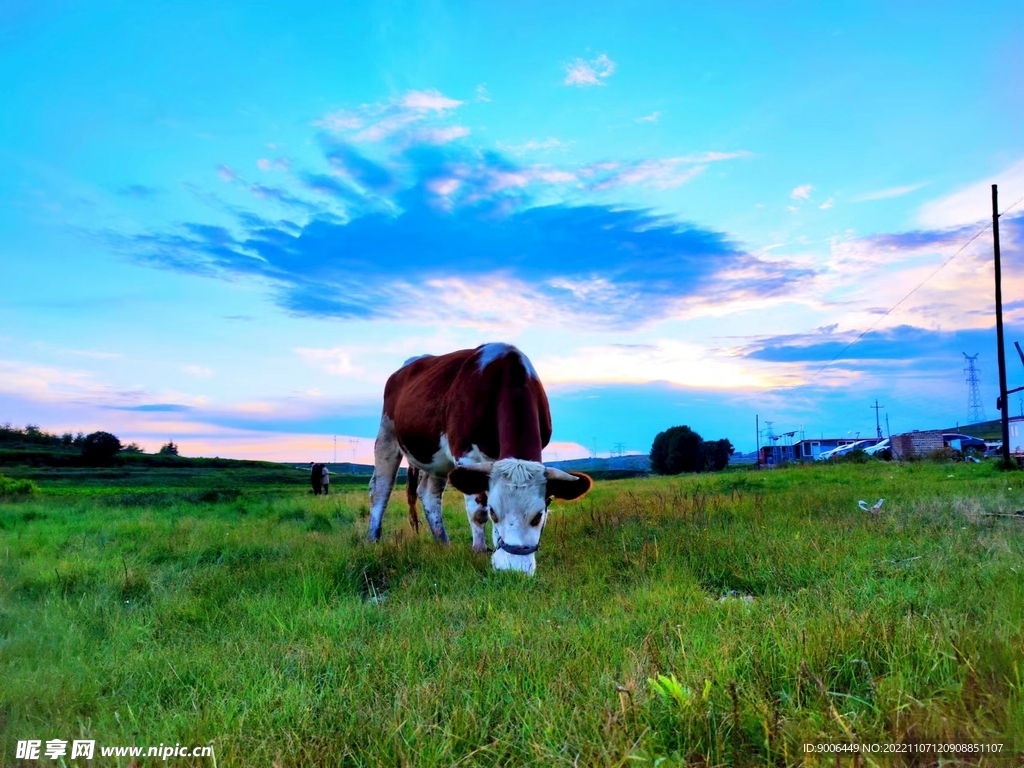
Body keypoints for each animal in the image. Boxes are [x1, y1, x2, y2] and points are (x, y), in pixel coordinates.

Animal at [368, 346, 593, 573]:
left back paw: (443, 543)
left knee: (429, 494)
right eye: (494, 513)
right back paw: (373, 539)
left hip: (437, 459)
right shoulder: (465, 456)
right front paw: (480, 550)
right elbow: (478, 510)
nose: (514, 569)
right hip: (387, 434)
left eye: (539, 515)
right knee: (381, 489)